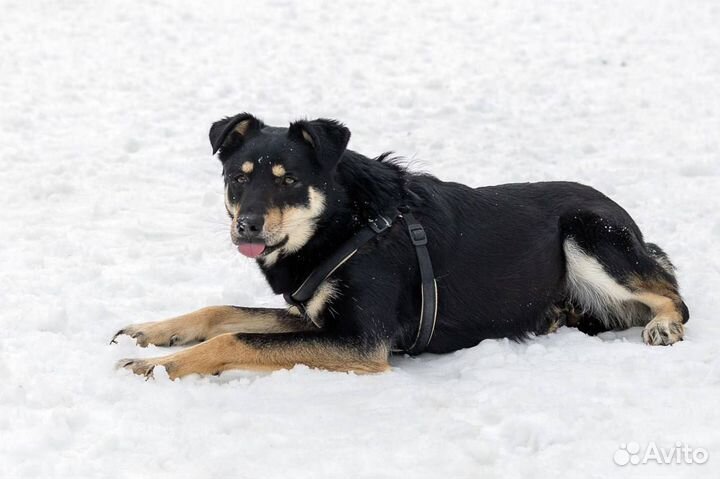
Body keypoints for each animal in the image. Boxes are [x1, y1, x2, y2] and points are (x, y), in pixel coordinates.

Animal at [111, 112, 688, 378]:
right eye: (238, 178)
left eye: (289, 180)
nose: (247, 227)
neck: (347, 225)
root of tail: (629, 221)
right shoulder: (315, 319)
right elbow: (221, 313)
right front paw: (154, 333)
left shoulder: (360, 342)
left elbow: (235, 339)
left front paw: (158, 367)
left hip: (587, 235)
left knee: (674, 296)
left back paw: (664, 326)